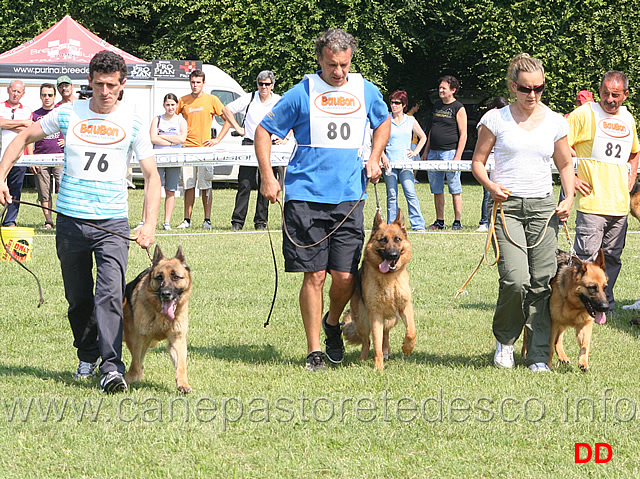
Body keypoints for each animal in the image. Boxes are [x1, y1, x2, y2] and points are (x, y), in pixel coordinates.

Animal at [342, 210, 418, 372]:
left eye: (397, 239)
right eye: (383, 240)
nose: (393, 255)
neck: (390, 278)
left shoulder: (405, 307)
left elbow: (411, 331)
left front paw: (407, 348)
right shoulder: (375, 314)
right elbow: (376, 344)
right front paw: (378, 367)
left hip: (392, 318)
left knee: (385, 333)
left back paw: (387, 350)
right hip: (363, 321)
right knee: (367, 341)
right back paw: (363, 359)